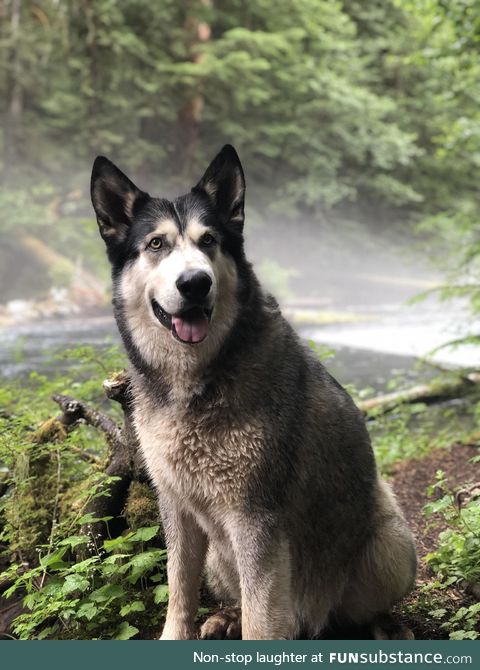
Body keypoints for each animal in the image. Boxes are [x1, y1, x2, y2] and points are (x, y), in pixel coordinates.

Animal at [91, 146, 416, 640]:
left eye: (209, 241)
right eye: (156, 245)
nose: (195, 282)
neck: (194, 383)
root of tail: (310, 619)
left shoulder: (254, 518)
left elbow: (262, 620)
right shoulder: (177, 508)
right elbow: (179, 589)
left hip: (390, 542)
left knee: (352, 609)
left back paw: (383, 626)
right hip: (219, 555)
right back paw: (228, 616)